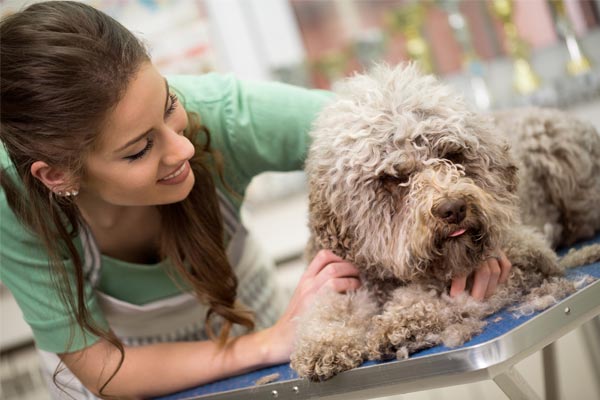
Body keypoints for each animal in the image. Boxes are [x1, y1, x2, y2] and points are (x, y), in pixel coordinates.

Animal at [290, 64, 600, 380]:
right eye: (395, 177)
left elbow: (444, 297)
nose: (453, 209)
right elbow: (328, 307)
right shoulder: (345, 274)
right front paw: (324, 343)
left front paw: (401, 322)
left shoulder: (525, 254)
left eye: (452, 155)